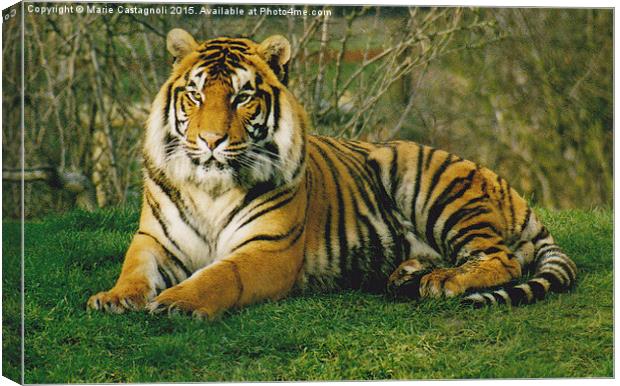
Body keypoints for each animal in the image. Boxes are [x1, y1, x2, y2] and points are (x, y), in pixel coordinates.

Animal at [86, 28, 576, 320]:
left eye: (243, 97)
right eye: (196, 94)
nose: (210, 140)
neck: (210, 187)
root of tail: (512, 192)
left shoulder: (267, 249)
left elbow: (218, 276)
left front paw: (177, 302)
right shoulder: (154, 240)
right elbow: (134, 270)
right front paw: (112, 298)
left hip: (430, 184)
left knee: (502, 258)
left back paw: (441, 281)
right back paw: (406, 274)